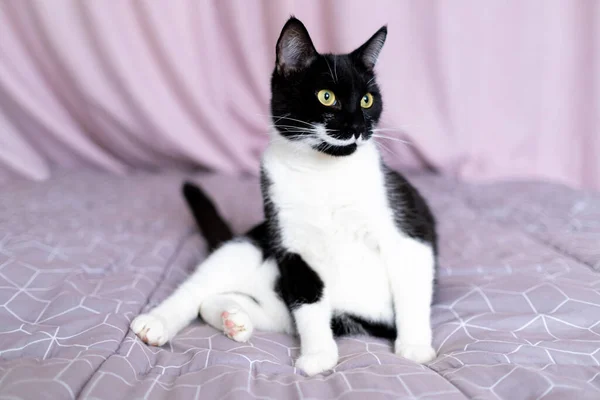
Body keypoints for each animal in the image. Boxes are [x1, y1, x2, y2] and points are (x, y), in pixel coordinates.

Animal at [131, 16, 436, 378]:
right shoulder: (292, 245)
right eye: (326, 96)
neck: (324, 173)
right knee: (198, 287)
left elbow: (412, 288)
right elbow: (308, 299)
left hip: (280, 308)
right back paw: (158, 323)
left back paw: (232, 317)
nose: (357, 126)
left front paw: (414, 346)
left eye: (367, 100)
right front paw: (318, 355)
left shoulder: (407, 227)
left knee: (227, 304)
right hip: (249, 245)